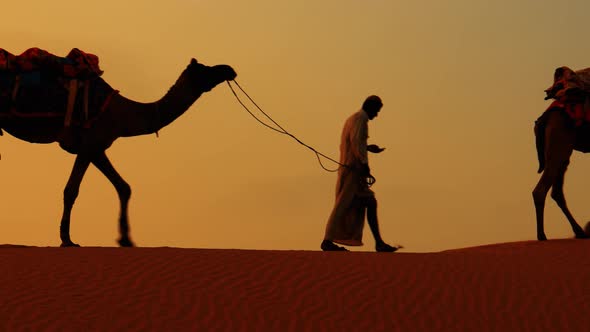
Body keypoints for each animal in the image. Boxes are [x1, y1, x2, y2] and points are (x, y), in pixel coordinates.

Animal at [2, 57, 238, 246]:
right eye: (205, 69)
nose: (229, 69)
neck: (123, 113)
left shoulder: (97, 147)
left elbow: (124, 187)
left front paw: (125, 238)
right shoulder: (89, 144)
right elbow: (71, 191)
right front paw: (67, 240)